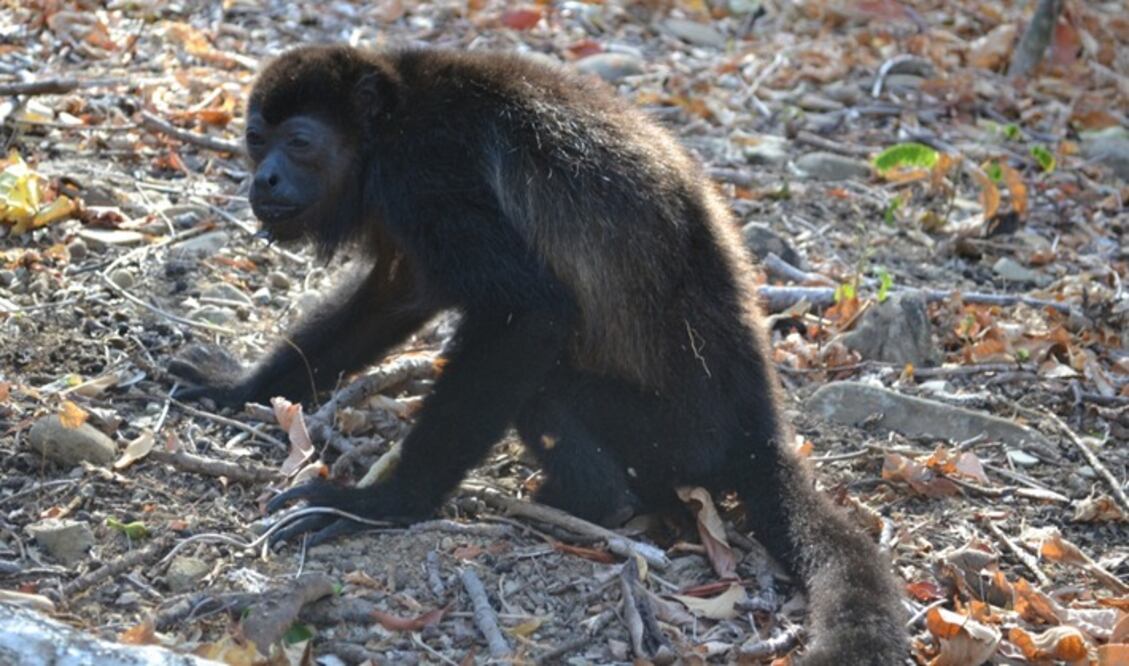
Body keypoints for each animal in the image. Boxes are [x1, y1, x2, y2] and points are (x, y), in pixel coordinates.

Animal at [169, 45, 906, 664]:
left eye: (299, 143)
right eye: (256, 138)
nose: (263, 178)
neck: (388, 122)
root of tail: (761, 431)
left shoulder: (426, 172)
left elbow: (527, 312)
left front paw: (382, 504)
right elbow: (394, 297)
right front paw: (240, 387)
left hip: (672, 435)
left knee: (546, 388)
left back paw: (582, 502)